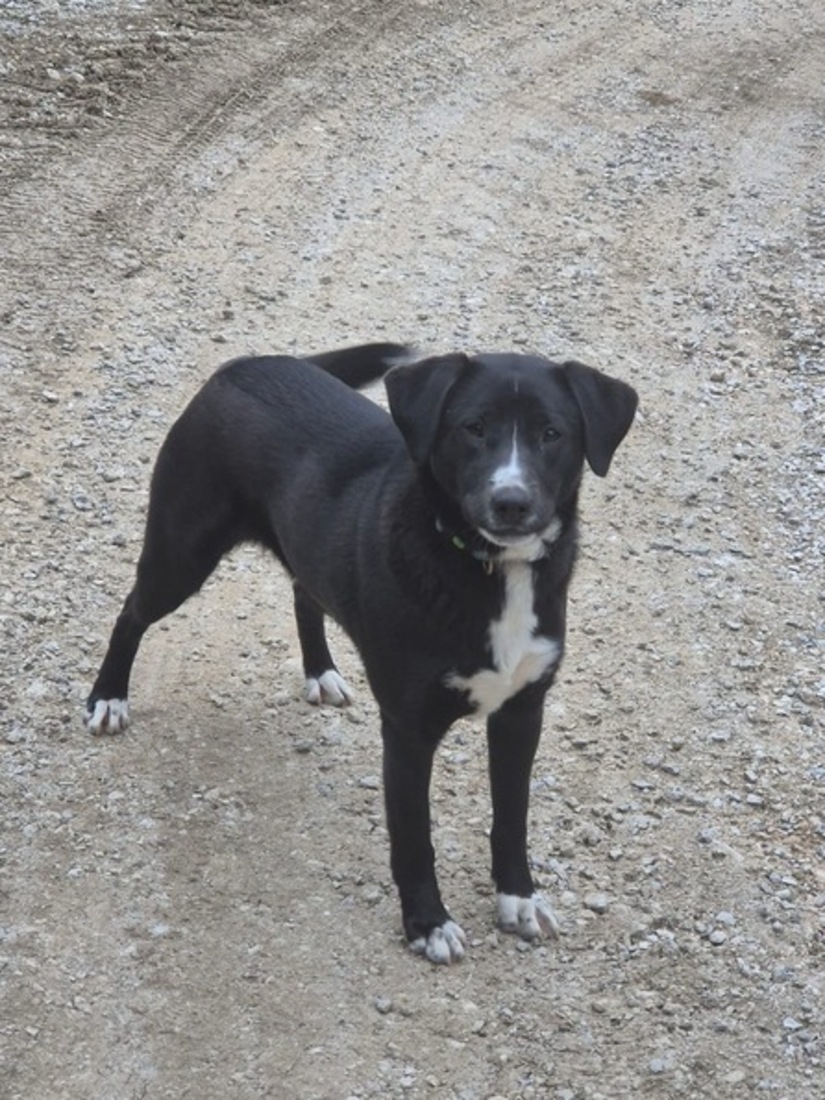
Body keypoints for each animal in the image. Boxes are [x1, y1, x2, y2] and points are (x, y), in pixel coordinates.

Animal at [86, 341, 637, 963]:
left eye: (551, 433)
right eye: (473, 428)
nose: (511, 503)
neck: (490, 569)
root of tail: (244, 364)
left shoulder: (522, 712)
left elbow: (512, 817)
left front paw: (518, 899)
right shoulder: (408, 730)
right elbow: (415, 838)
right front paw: (428, 924)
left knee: (304, 590)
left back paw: (320, 671)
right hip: (181, 553)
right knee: (131, 613)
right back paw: (108, 698)